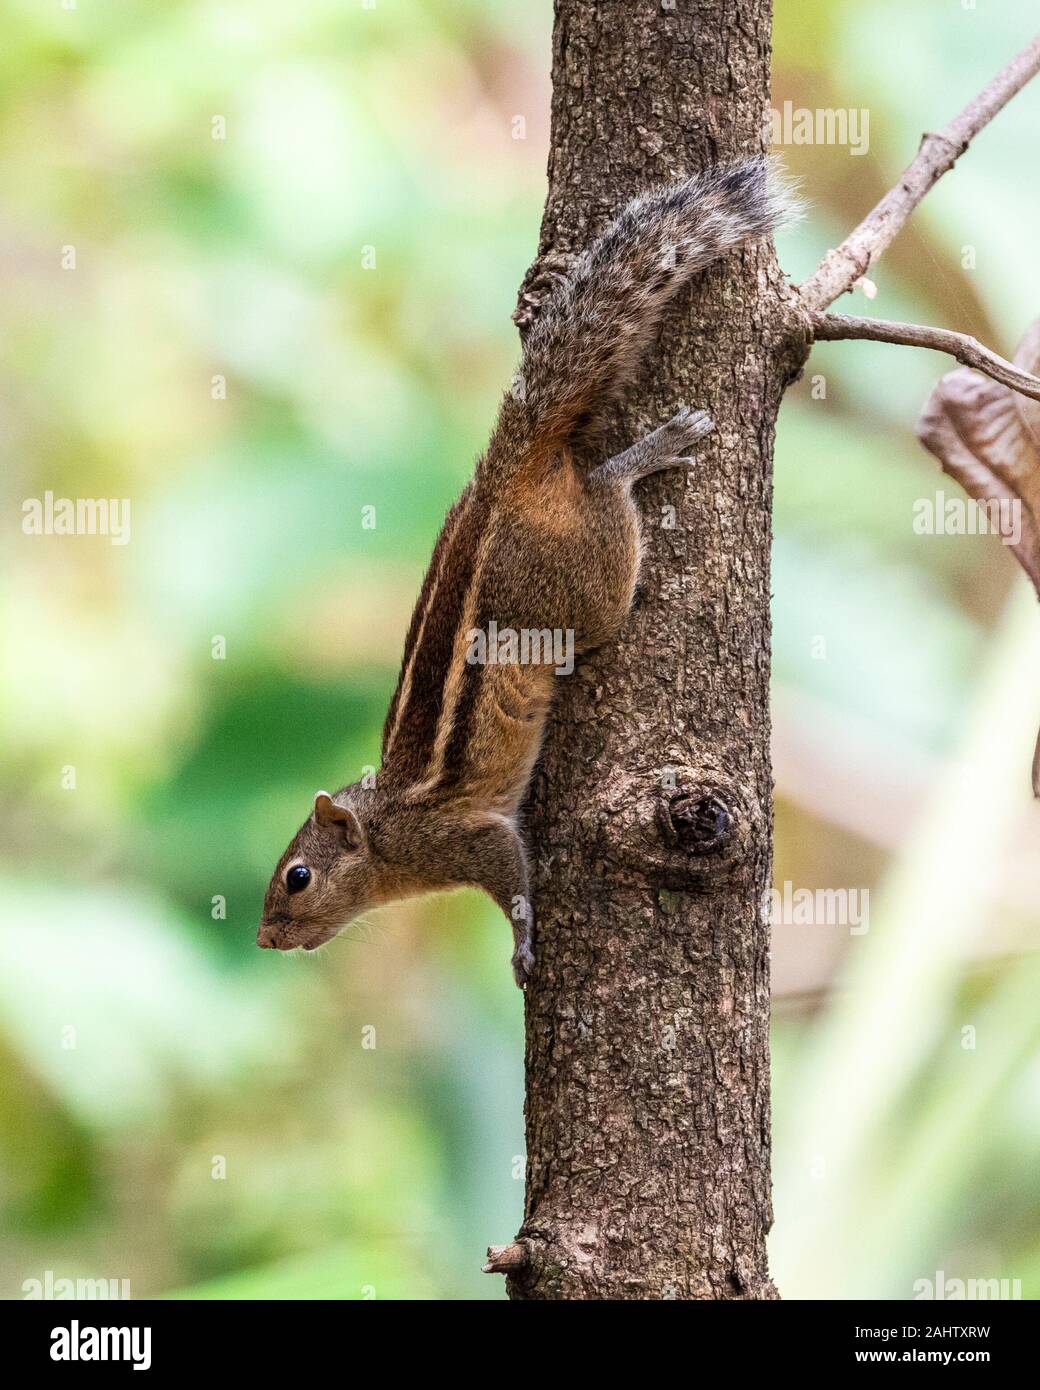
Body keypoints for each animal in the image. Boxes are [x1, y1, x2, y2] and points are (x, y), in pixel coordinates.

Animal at [258, 157, 789, 989]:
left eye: (298, 877)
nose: (264, 938)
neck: (385, 829)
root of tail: (501, 477)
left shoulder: (470, 838)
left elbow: (513, 882)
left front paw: (522, 946)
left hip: (586, 585)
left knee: (607, 498)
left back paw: (650, 452)